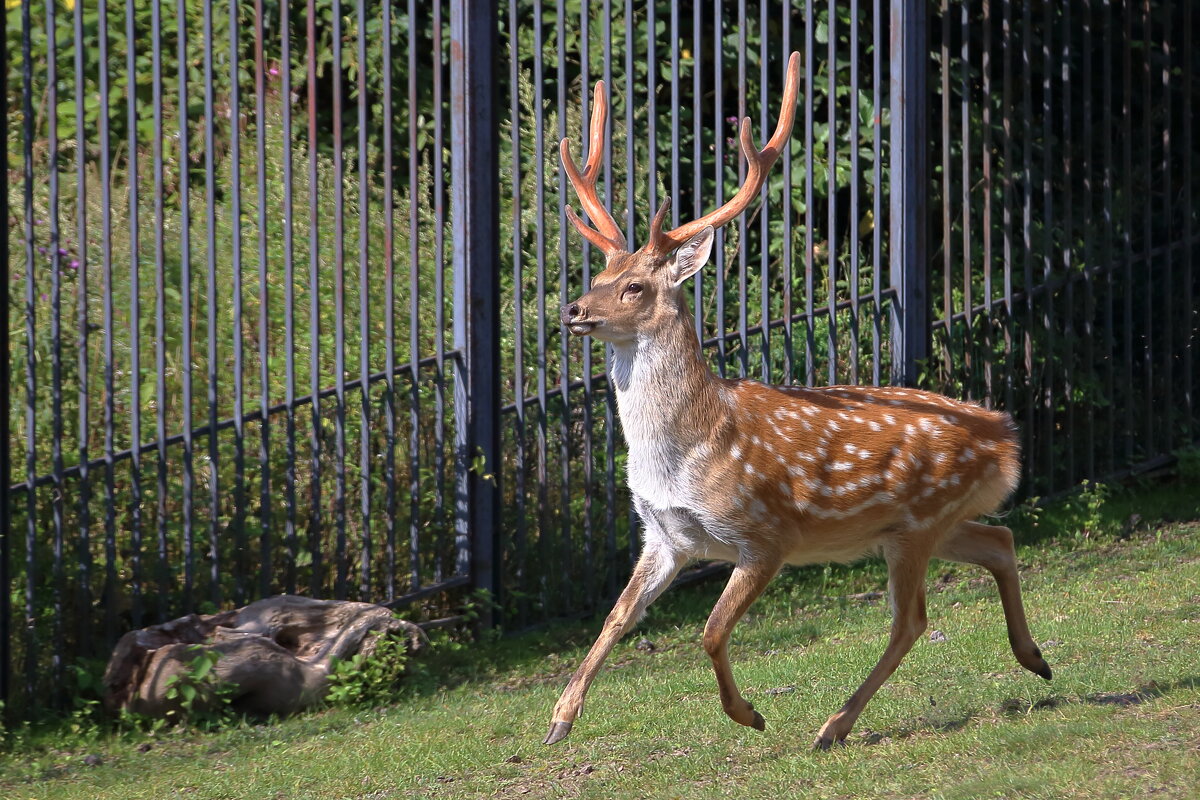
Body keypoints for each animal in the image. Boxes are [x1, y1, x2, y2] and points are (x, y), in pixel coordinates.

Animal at [549, 51, 1056, 753]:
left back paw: (833, 725)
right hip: (926, 524)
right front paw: (559, 718)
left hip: (918, 522)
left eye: (634, 288)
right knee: (1000, 539)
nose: (573, 310)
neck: (684, 453)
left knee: (911, 619)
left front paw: (749, 715)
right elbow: (616, 617)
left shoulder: (765, 534)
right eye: (598, 277)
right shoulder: (666, 535)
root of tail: (1006, 438)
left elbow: (710, 631)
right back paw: (1035, 659)